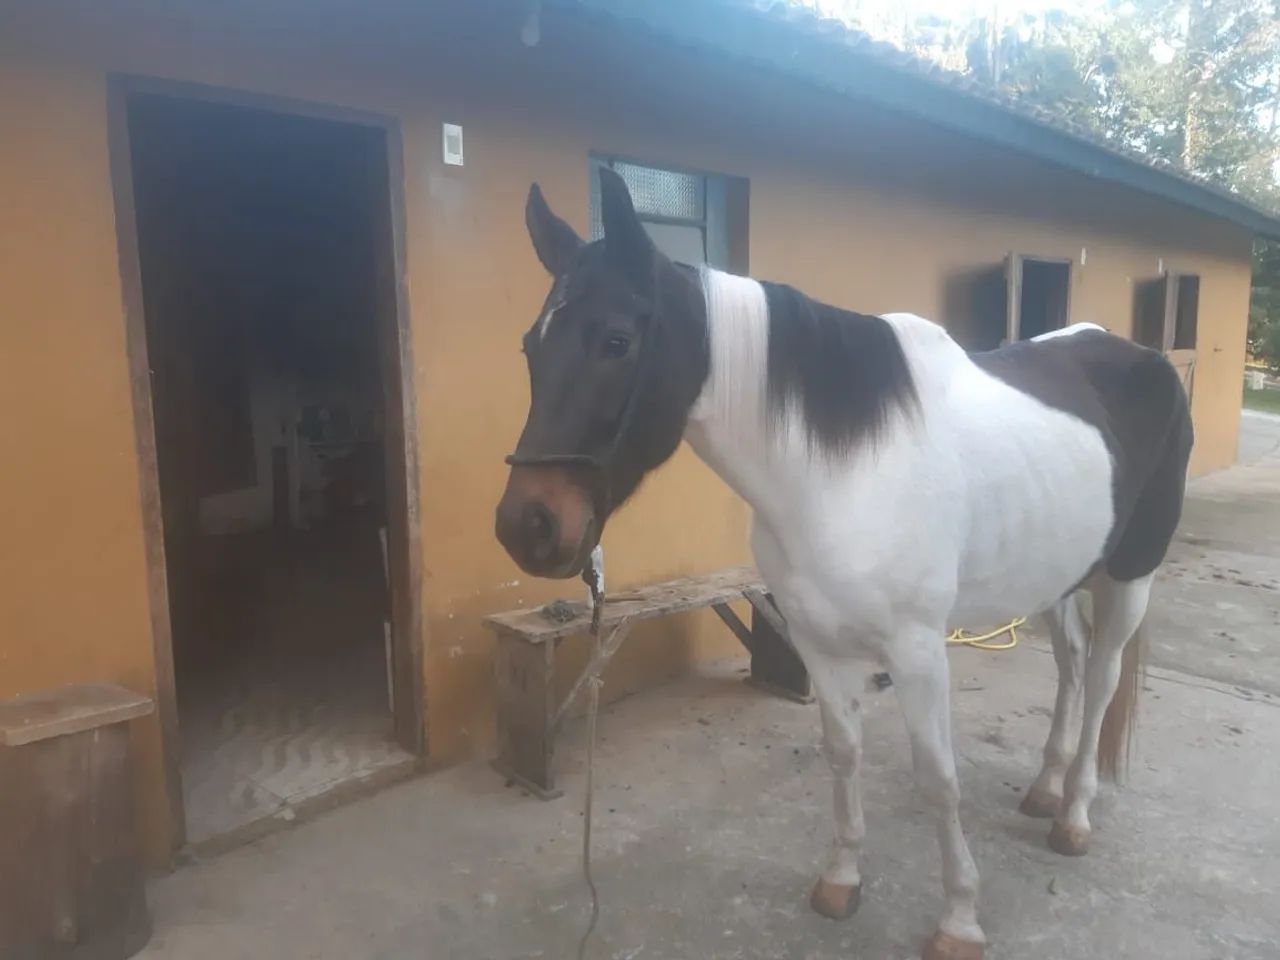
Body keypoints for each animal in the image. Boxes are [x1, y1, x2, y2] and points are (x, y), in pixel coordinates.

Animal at [496, 167, 1193, 960]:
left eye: (616, 341)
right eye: (531, 347)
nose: (528, 526)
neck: (836, 470)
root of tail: (1140, 357)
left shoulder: (918, 650)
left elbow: (938, 779)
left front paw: (959, 918)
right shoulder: (817, 640)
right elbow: (843, 752)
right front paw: (841, 881)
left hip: (1130, 576)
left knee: (1103, 678)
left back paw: (1073, 816)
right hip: (1060, 574)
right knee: (1073, 667)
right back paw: (1046, 787)